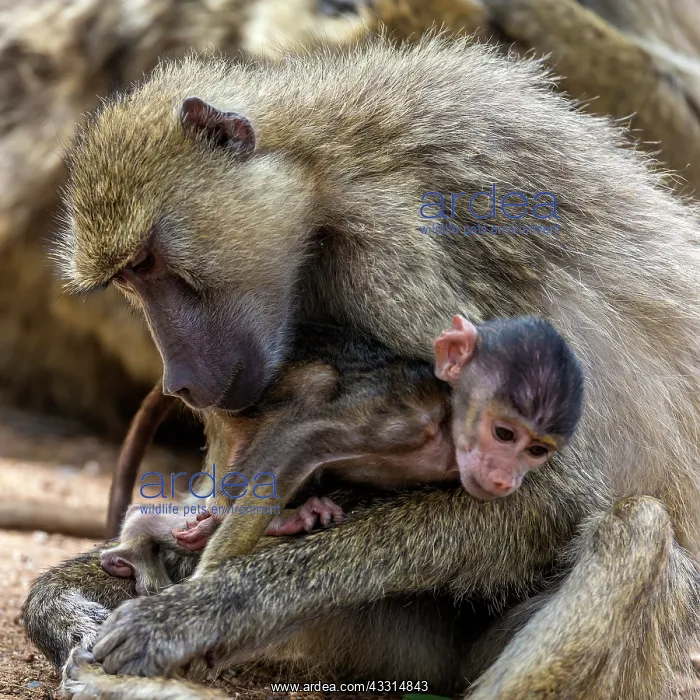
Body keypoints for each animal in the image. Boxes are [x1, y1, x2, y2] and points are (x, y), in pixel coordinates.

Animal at [24, 36, 700, 699]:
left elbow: (552, 496)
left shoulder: (399, 252)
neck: (321, 172)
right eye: (128, 278)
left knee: (636, 529)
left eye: (148, 262)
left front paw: (192, 614)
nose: (181, 383)